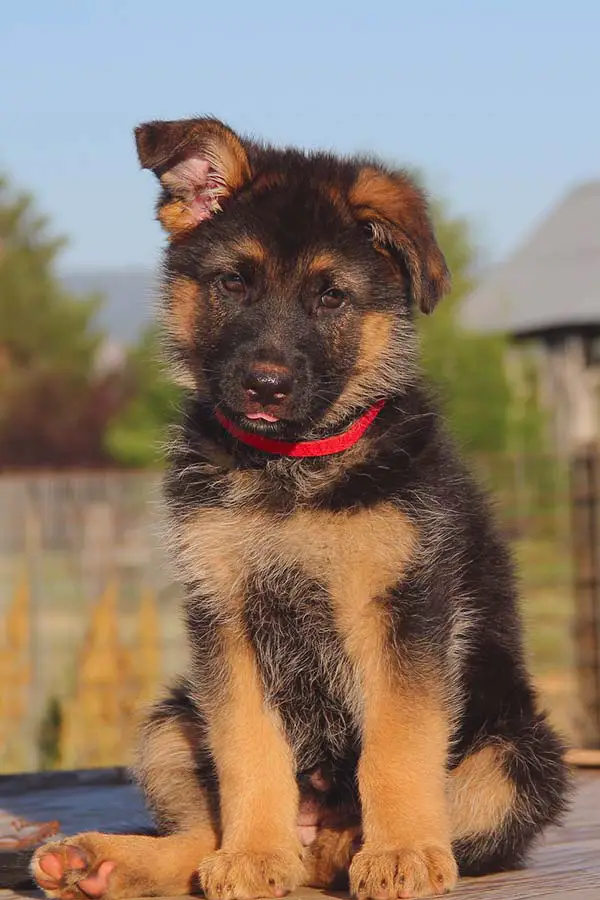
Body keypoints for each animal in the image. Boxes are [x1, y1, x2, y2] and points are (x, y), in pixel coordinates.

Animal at [32, 119, 568, 900]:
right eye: (234, 282)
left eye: (331, 298)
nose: (265, 386)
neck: (291, 471)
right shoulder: (224, 616)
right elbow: (248, 751)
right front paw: (256, 854)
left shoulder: (403, 610)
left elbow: (398, 746)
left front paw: (401, 851)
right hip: (169, 722)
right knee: (198, 839)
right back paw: (106, 863)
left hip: (519, 754)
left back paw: (353, 846)